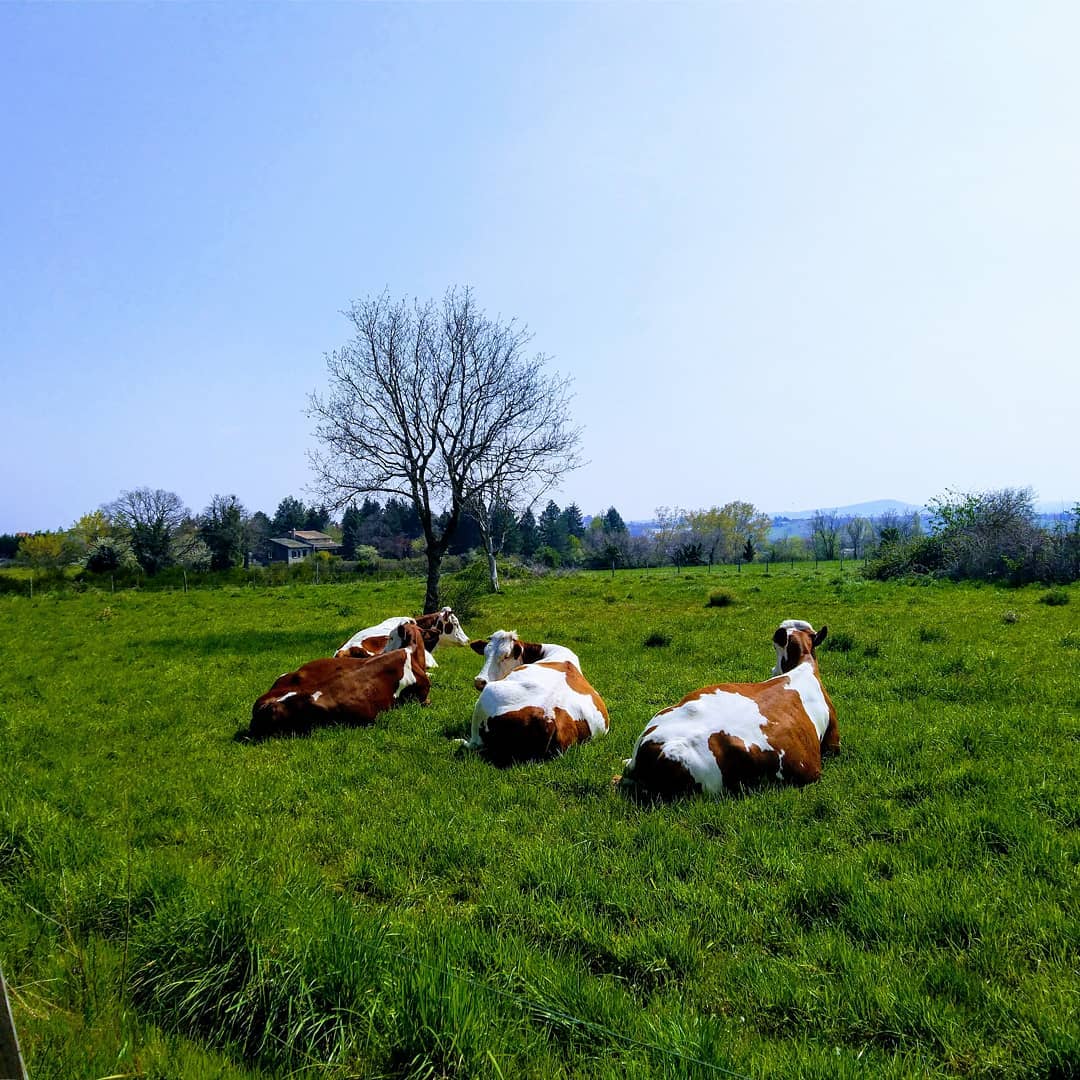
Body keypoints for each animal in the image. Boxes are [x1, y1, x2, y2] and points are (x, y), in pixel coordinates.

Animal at [457, 630, 609, 761]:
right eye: (485, 653)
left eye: (505, 656)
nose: (479, 681)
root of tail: (548, 717)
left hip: (485, 697)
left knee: (475, 743)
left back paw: (460, 741)